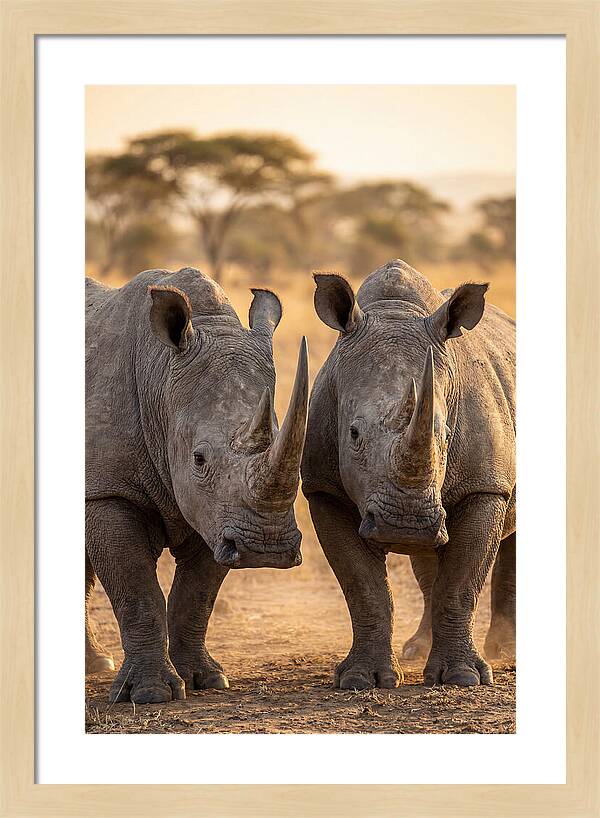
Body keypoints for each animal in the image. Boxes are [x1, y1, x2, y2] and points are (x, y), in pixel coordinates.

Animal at [85, 267, 308, 703]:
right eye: (199, 459)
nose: (266, 548)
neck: (160, 378)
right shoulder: (108, 490)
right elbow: (136, 590)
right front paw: (150, 694)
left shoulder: (219, 513)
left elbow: (196, 595)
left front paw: (205, 679)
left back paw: (95, 664)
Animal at [302, 259, 515, 688]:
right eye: (353, 434)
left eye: (445, 434)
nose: (406, 524)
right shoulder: (323, 488)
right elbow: (363, 588)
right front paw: (361, 679)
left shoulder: (485, 487)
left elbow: (461, 584)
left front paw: (464, 678)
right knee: (428, 560)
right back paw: (417, 649)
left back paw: (505, 650)